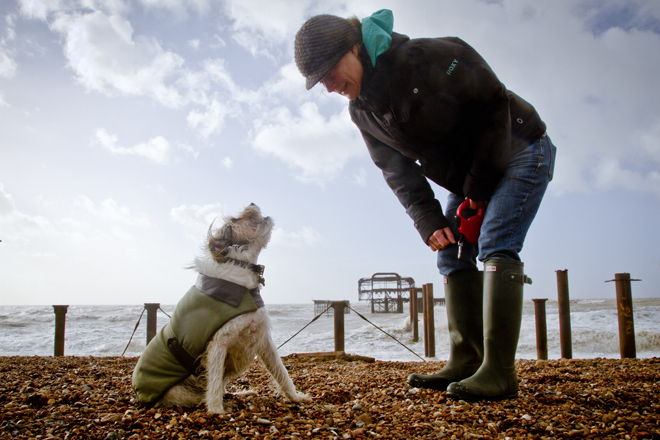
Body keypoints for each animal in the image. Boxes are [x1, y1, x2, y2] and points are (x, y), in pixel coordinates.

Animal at [134, 203, 312, 412]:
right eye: (235, 220)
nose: (252, 203)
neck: (240, 267)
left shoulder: (262, 337)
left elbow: (281, 371)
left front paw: (296, 397)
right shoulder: (218, 342)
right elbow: (215, 382)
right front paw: (216, 411)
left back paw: (241, 394)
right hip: (176, 391)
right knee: (202, 394)